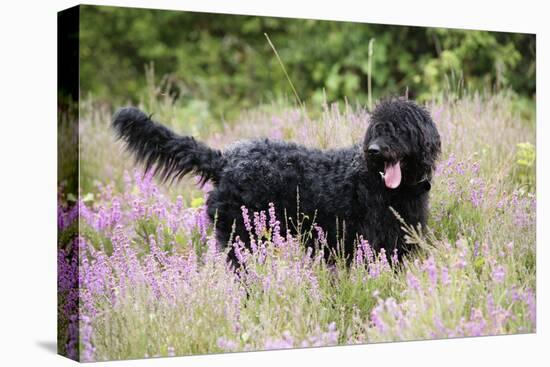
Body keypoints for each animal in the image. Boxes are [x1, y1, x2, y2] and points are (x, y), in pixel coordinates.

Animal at [114, 98, 442, 264]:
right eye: (376, 128)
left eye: (398, 128)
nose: (374, 150)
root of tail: (225, 160)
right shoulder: (374, 242)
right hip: (243, 238)